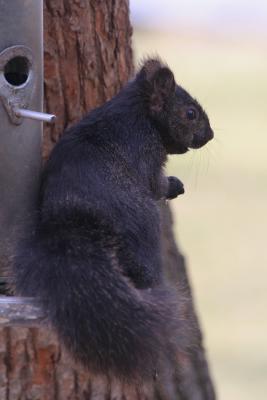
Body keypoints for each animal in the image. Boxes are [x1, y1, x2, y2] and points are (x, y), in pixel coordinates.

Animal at [12, 58, 214, 382]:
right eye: (190, 113)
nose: (209, 135)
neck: (138, 112)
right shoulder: (145, 150)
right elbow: (155, 184)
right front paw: (172, 185)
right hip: (145, 226)